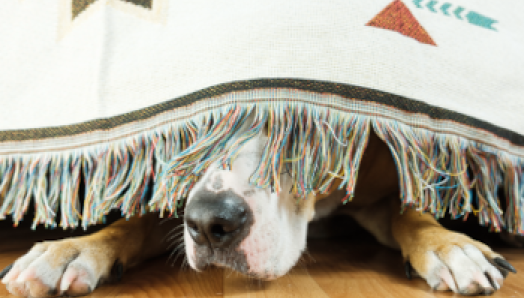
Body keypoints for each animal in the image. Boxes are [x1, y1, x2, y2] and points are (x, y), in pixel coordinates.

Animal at [0, 115, 516, 296]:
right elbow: (135, 222)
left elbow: (413, 213)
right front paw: (73, 249)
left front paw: (451, 247)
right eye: (197, 128)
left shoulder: (382, 186)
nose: (210, 223)